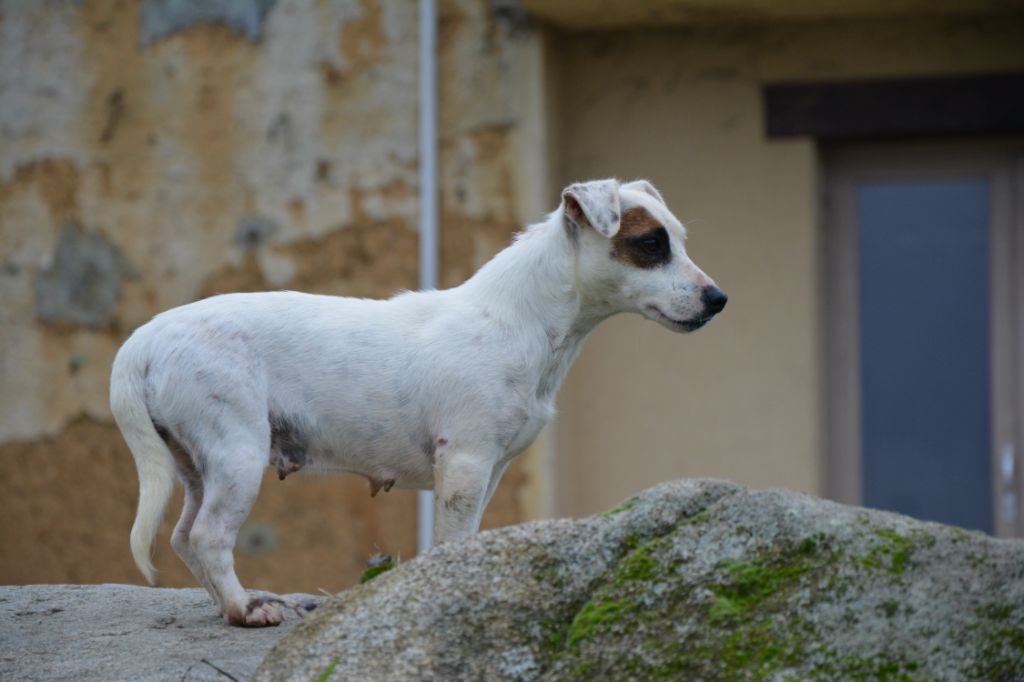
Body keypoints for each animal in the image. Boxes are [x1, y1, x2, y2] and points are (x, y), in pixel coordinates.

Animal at [109, 178, 727, 626]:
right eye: (651, 244)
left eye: (679, 238)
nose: (718, 299)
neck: (520, 320)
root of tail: (144, 340)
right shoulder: (466, 465)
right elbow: (453, 540)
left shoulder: (489, 471)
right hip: (236, 453)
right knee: (210, 537)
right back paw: (243, 609)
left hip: (195, 465)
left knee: (184, 536)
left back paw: (227, 604)